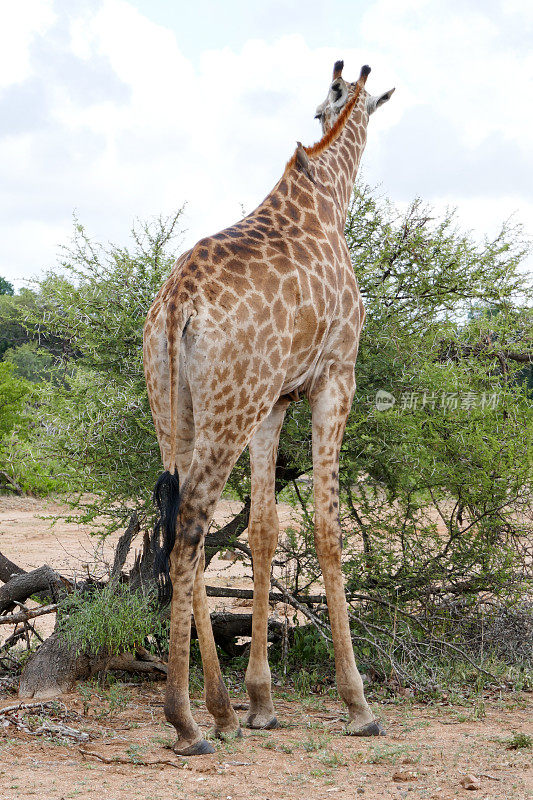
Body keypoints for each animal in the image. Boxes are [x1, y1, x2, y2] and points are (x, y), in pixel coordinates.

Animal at [143, 59, 392, 752]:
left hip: (177, 410)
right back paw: (186, 720)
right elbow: (329, 526)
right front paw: (358, 703)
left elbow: (263, 529)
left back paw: (221, 711)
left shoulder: (276, 398)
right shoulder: (337, 375)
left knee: (181, 520)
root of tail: (176, 305)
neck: (329, 198)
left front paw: (260, 701)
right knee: (191, 525)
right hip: (227, 408)